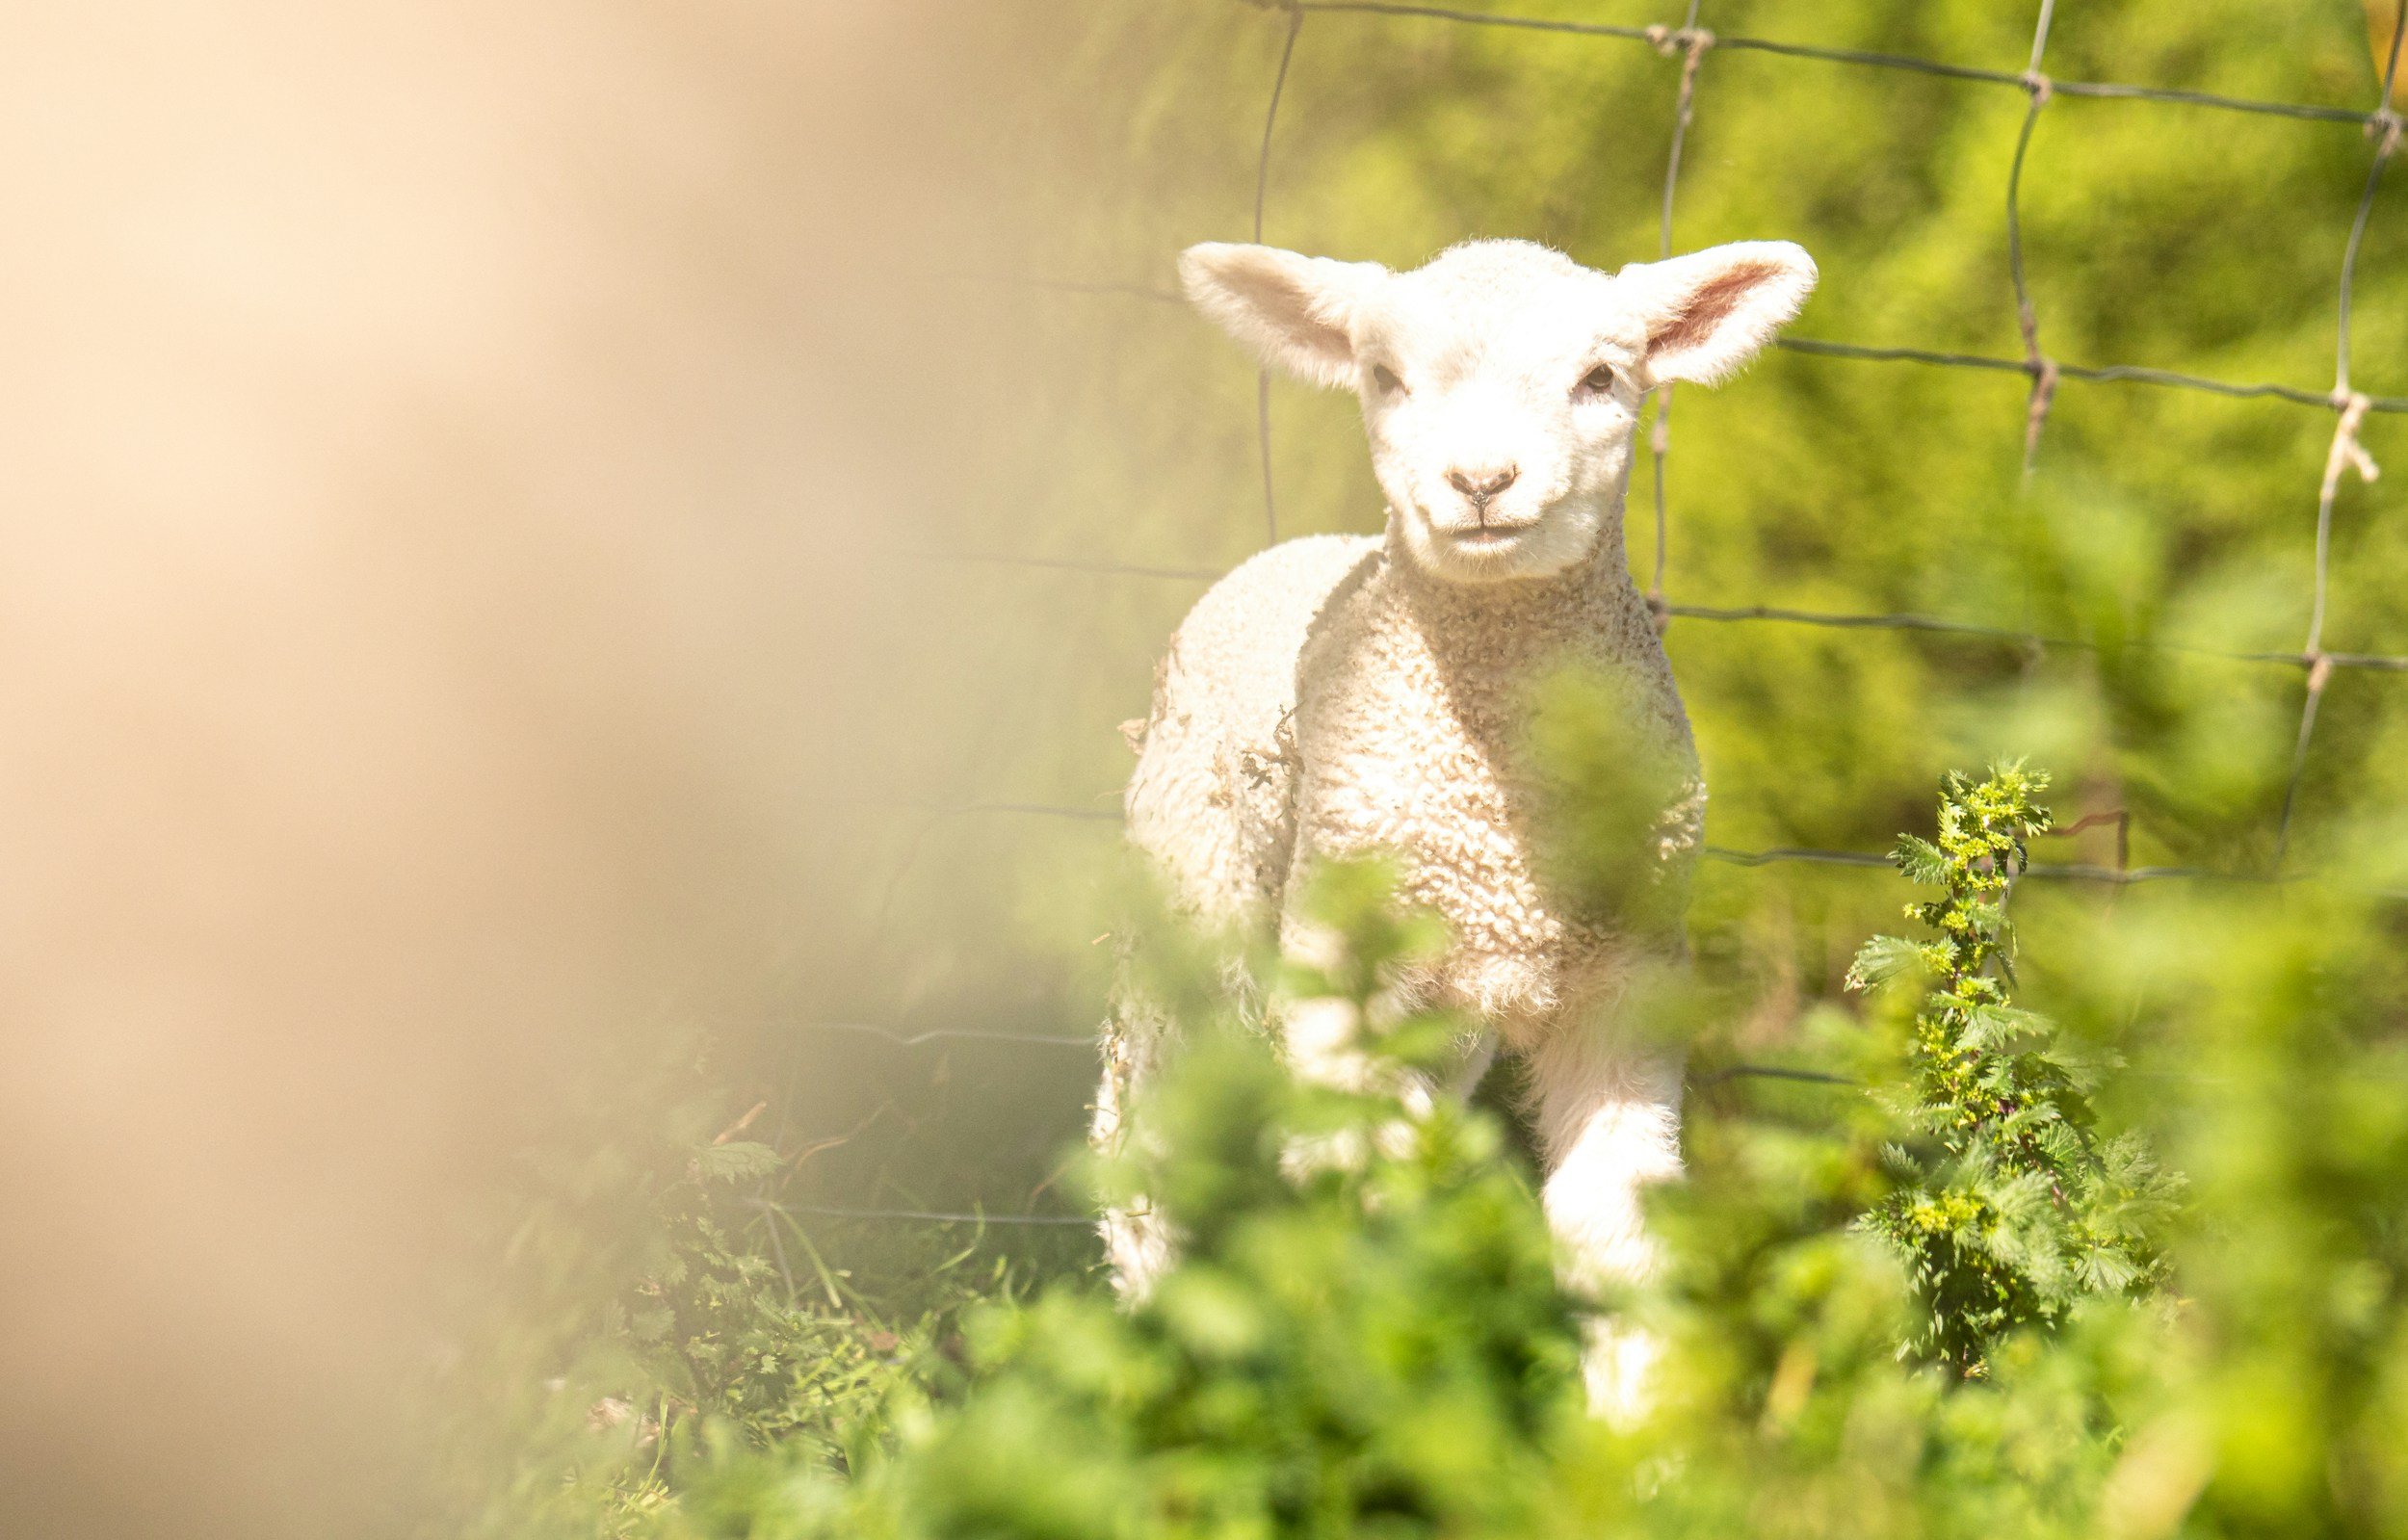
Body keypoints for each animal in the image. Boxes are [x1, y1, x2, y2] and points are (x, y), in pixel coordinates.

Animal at [1095, 235, 1816, 1414]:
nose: (1481, 482)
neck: (1494, 800)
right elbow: (1372, 1165)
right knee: (1141, 1132)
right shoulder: (1336, 957)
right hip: (1187, 896)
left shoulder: (1626, 974)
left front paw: (1635, 1429)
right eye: (1385, 378)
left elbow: (1613, 1229)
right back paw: (1148, 1362)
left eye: (1601, 378)